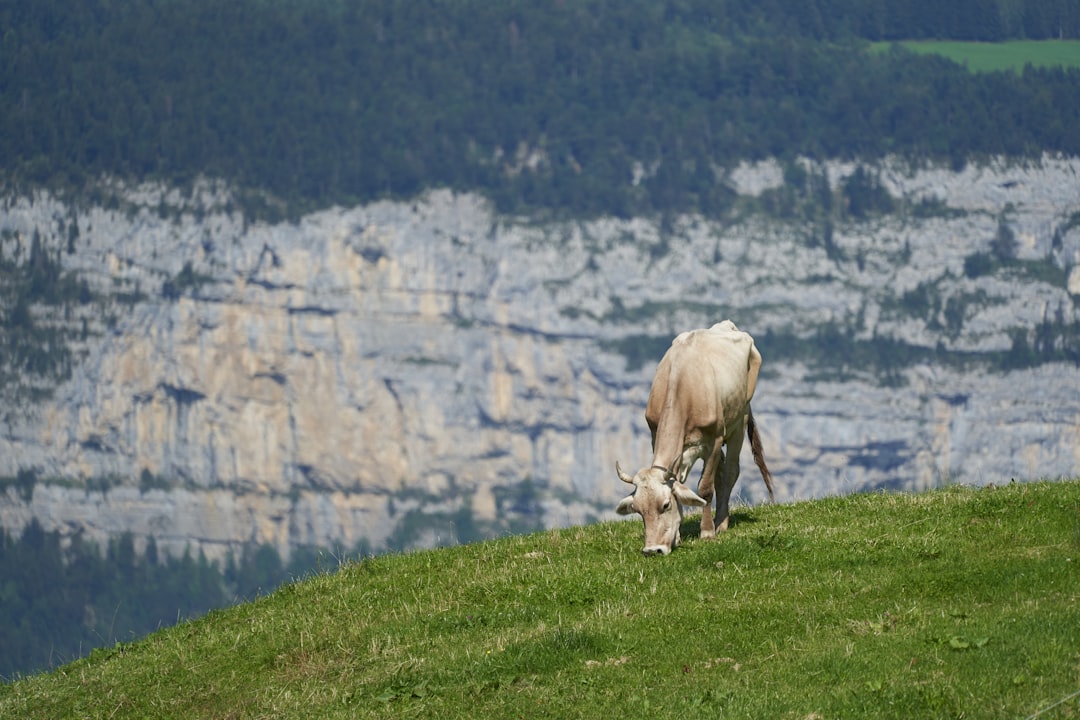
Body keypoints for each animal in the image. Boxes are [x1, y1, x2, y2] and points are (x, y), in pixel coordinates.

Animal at [613, 321, 773, 557]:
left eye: (665, 505)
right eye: (639, 510)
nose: (653, 549)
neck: (683, 384)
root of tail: (728, 325)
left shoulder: (714, 440)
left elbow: (705, 487)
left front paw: (707, 532)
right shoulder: (656, 435)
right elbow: (681, 483)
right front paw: (678, 536)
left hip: (739, 419)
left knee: (731, 471)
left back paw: (721, 522)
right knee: (722, 472)